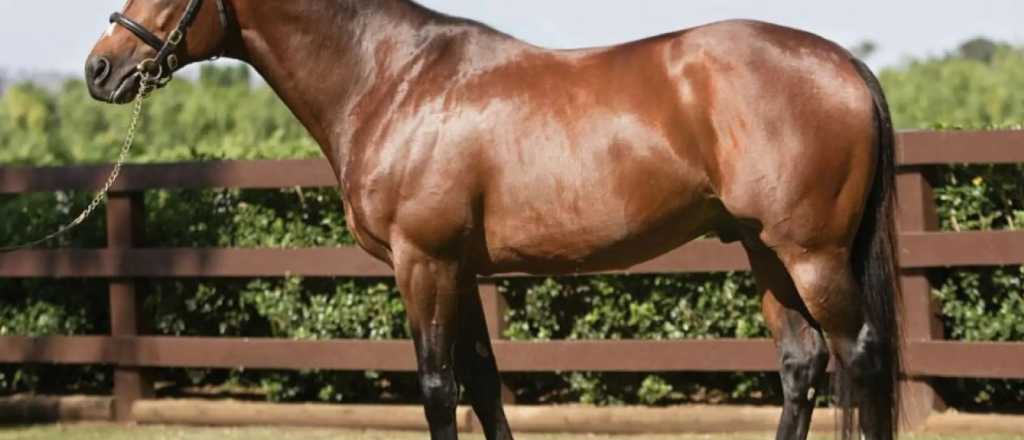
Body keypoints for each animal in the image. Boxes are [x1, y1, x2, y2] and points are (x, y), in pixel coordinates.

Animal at [85, 1, 902, 439]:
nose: (100, 67)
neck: (392, 79)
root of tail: (845, 65)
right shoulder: (462, 268)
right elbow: (481, 381)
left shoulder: (423, 262)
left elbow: (438, 386)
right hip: (766, 252)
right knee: (802, 364)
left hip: (812, 255)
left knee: (859, 357)